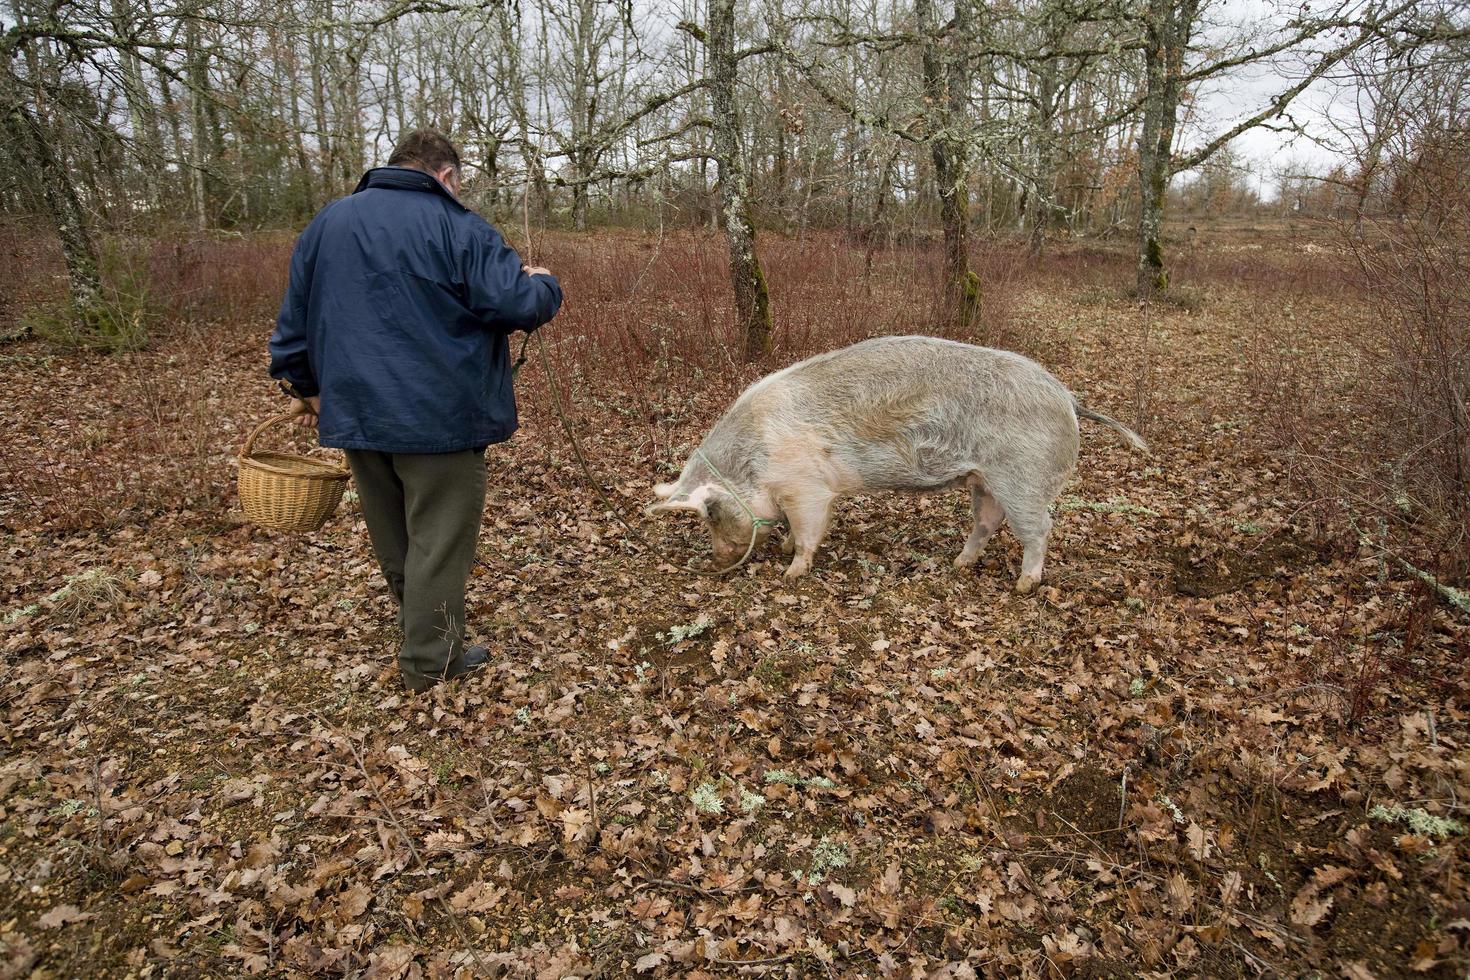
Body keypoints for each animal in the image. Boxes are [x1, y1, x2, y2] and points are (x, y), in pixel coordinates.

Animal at [646, 337, 1146, 593]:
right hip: (985, 480)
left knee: (1040, 528)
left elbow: (807, 532)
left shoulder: (807, 488)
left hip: (1024, 478)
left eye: (710, 513)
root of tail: (1069, 399)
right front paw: (786, 551)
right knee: (987, 522)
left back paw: (1024, 585)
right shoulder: (814, 492)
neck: (754, 460)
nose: (715, 562)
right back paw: (957, 565)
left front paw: (792, 572)